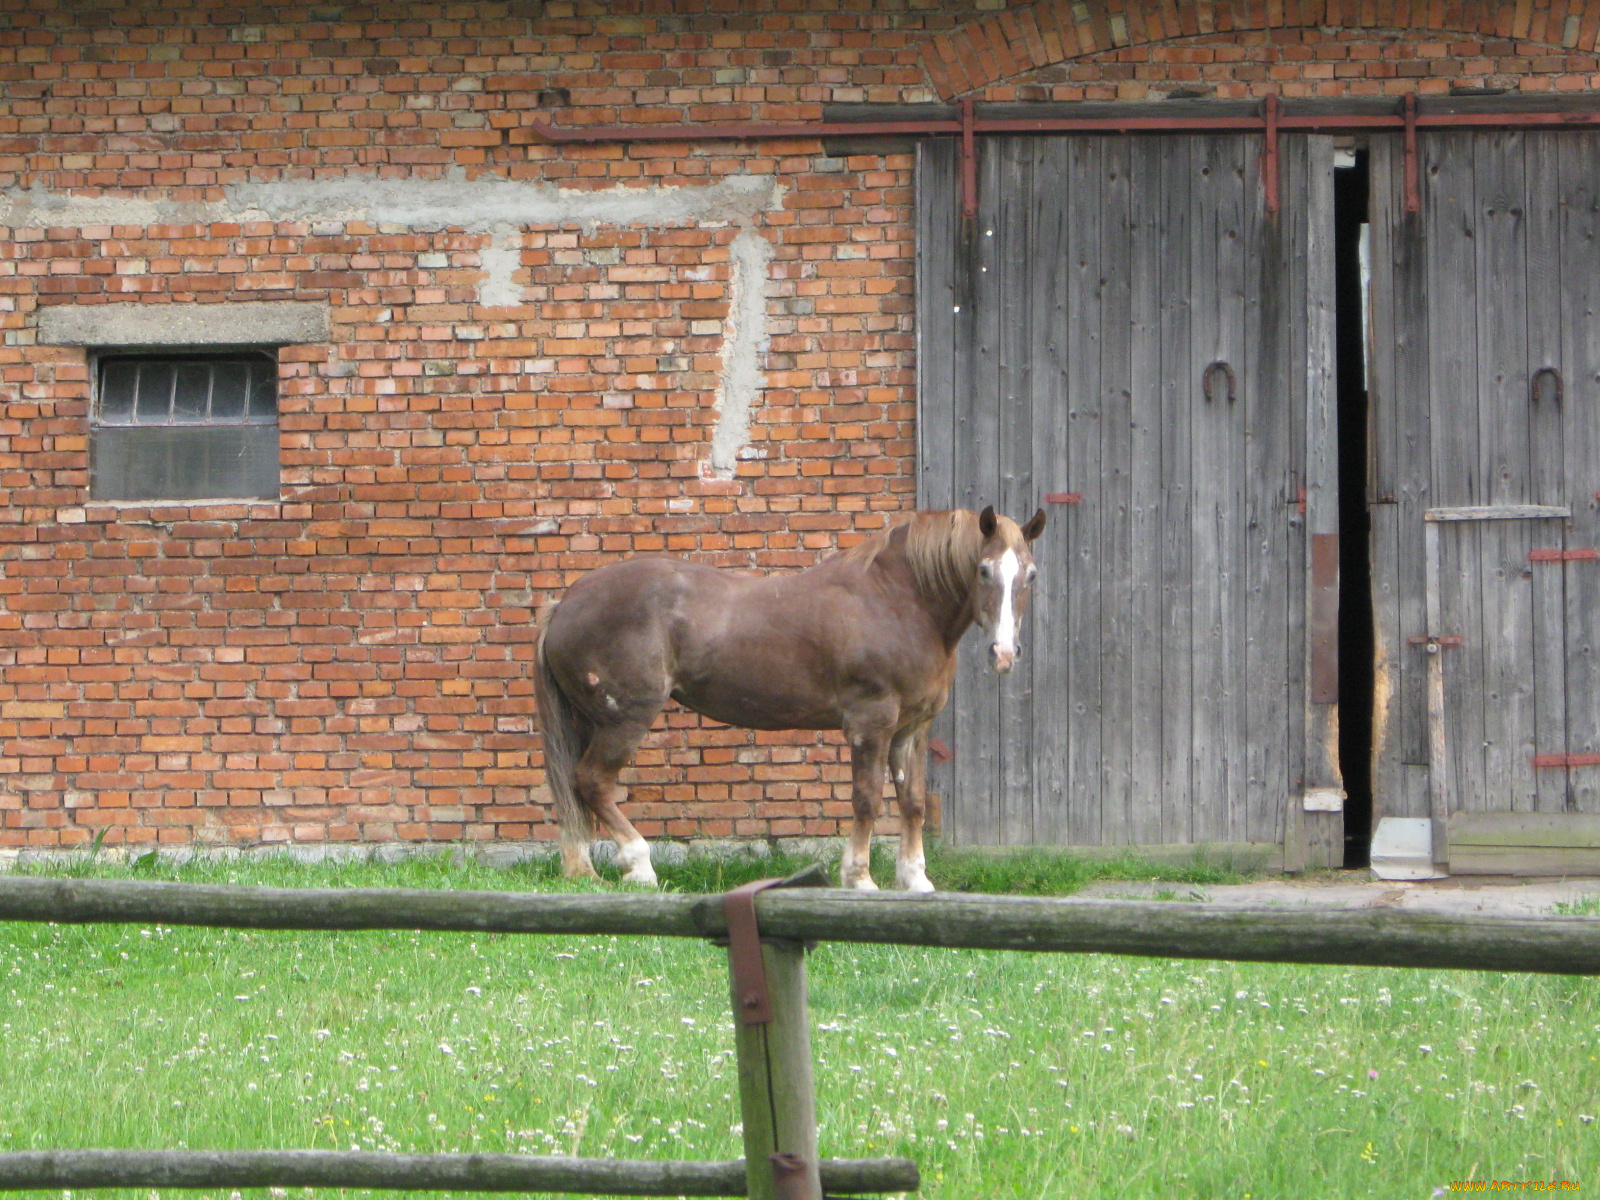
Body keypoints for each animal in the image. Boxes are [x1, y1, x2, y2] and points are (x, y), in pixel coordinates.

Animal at [531, 508, 1043, 896]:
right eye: (983, 570)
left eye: (1031, 574)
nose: (1004, 653)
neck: (898, 602)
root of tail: (566, 603)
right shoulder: (871, 722)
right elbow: (866, 799)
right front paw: (859, 878)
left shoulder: (911, 730)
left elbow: (912, 802)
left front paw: (915, 880)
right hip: (626, 719)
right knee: (593, 782)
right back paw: (639, 866)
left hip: (588, 720)